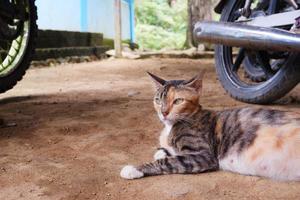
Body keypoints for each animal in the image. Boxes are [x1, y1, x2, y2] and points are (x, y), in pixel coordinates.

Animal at [119, 71, 300, 180]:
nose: (163, 112)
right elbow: (165, 152)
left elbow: (168, 162)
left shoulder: (204, 156)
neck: (170, 128)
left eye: (178, 101)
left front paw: (134, 168)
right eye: (158, 100)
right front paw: (162, 151)